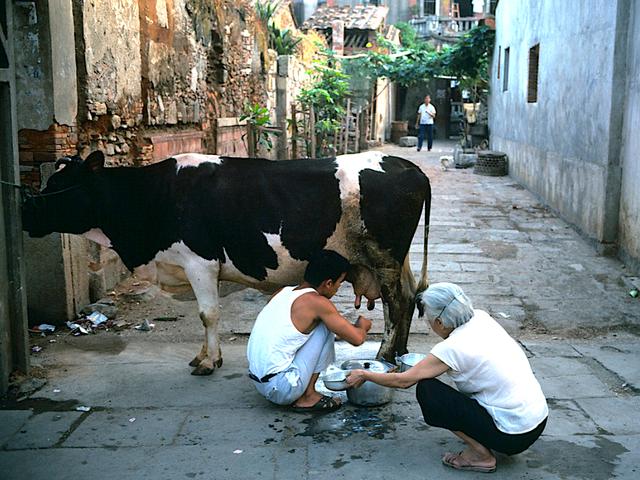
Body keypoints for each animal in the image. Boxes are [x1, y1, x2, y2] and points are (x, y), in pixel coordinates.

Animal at [21, 150, 430, 376]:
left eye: (57, 186)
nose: (26, 212)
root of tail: (408, 166)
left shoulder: (199, 261)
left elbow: (208, 314)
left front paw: (209, 362)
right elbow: (205, 315)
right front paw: (203, 356)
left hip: (384, 256)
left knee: (397, 303)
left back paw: (385, 354)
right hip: (396, 259)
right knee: (409, 297)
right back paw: (399, 353)